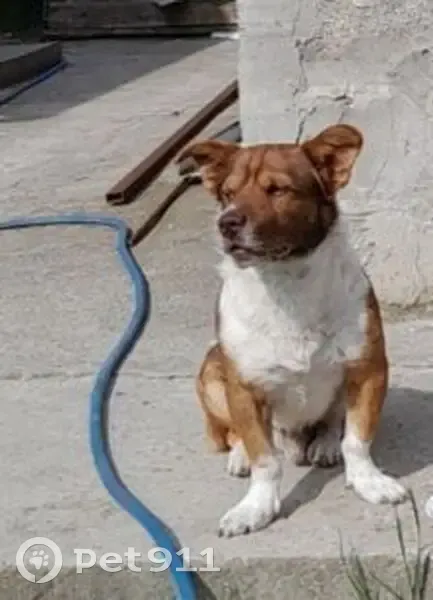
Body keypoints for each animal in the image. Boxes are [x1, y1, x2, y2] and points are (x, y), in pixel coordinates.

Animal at [176, 124, 408, 538]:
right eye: (227, 194)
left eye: (277, 190)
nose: (227, 223)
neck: (287, 282)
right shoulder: (244, 389)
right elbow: (265, 460)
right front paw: (256, 507)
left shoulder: (368, 370)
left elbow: (357, 439)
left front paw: (368, 481)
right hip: (211, 374)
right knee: (238, 434)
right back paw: (240, 455)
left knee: (332, 422)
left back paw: (325, 444)